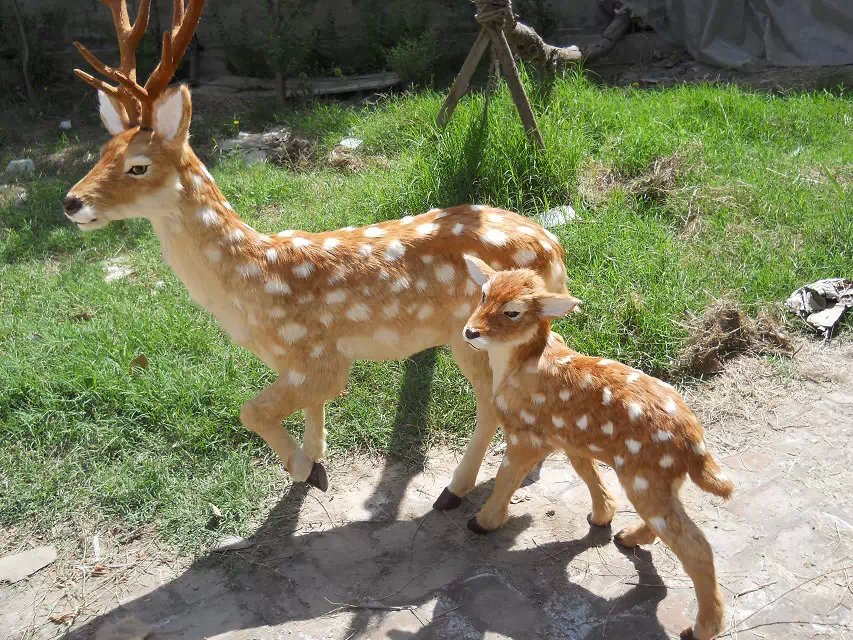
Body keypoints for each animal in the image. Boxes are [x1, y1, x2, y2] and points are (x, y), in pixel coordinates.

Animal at [63, 0, 568, 508]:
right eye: (102, 152)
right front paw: (316, 461)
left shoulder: (321, 355)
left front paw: (305, 470)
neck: (252, 283)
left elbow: (251, 410)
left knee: (491, 404)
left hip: (474, 336)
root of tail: (554, 249)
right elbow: (310, 407)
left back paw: (455, 490)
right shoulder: (292, 361)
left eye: (138, 166)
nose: (71, 202)